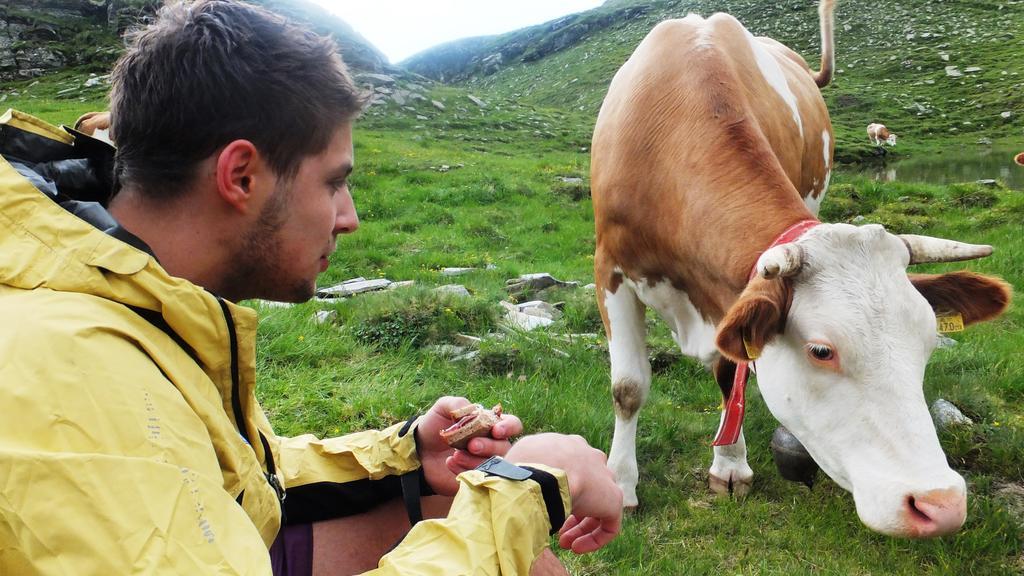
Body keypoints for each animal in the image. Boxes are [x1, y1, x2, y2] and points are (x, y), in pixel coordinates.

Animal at [589, 0, 1011, 537]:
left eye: (929, 341)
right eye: (821, 351)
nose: (941, 503)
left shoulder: (734, 294)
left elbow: (730, 370)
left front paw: (730, 464)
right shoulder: (610, 267)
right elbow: (628, 387)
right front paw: (620, 486)